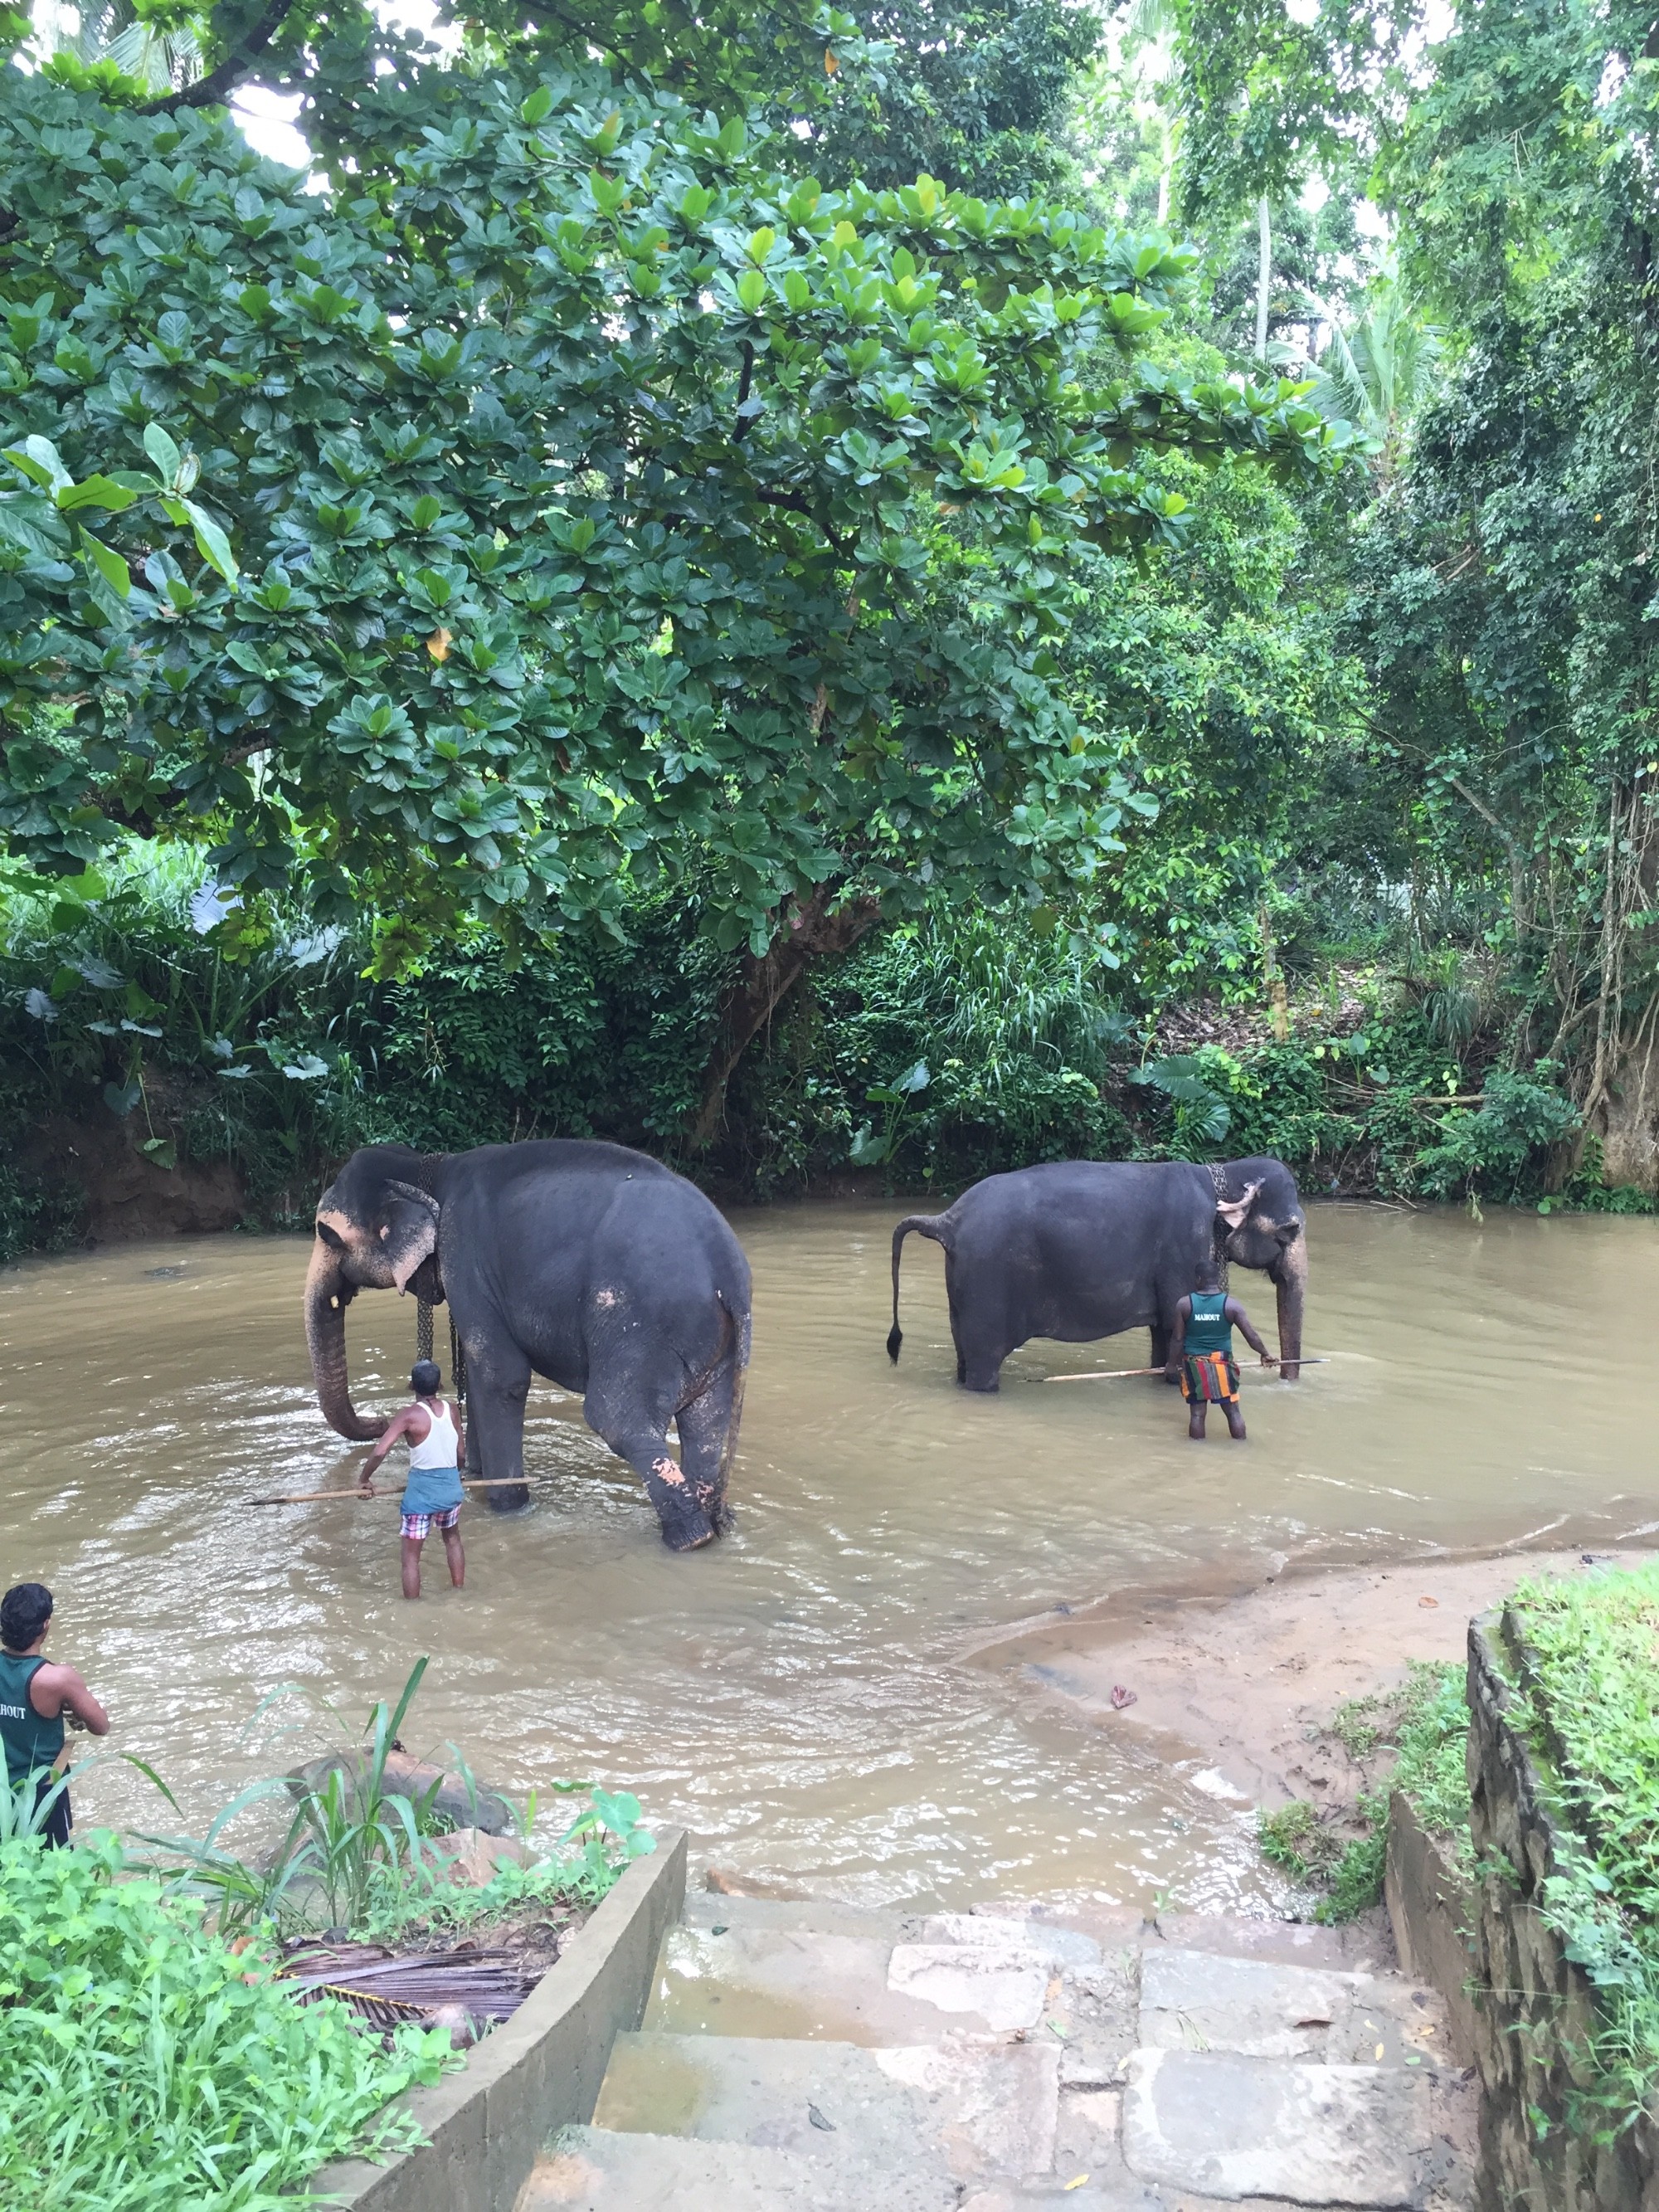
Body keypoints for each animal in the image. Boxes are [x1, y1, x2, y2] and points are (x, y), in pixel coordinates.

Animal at [305, 1141, 752, 1557]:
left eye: (326, 1233)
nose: (383, 1420)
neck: (431, 1166)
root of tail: (730, 1275)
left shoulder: (464, 1256)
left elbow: (502, 1376)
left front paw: (507, 1507)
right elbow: (477, 1372)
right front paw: (472, 1476)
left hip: (642, 1323)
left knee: (616, 1419)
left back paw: (690, 1539)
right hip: (710, 1342)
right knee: (705, 1423)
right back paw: (714, 1524)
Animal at [889, 1150, 1309, 1389]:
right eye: (1291, 1230)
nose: (1282, 1373)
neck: (1220, 1173)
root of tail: (947, 1220)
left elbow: (1165, 1334)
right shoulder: (1186, 1247)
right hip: (987, 1281)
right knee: (984, 1363)